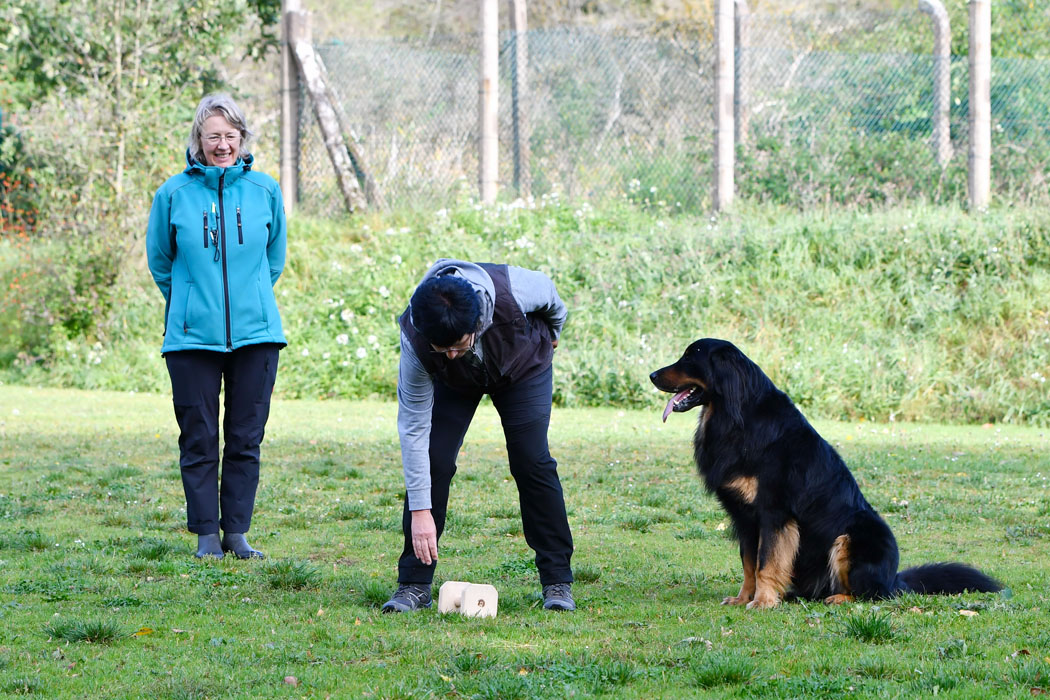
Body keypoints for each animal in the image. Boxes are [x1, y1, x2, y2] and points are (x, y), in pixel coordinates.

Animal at [646, 337, 999, 608]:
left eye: (690, 357)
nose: (651, 375)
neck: (737, 415)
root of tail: (895, 579)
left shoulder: (774, 514)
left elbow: (765, 564)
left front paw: (762, 602)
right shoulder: (744, 519)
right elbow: (748, 565)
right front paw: (744, 598)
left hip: (853, 536)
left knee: (872, 594)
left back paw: (839, 598)